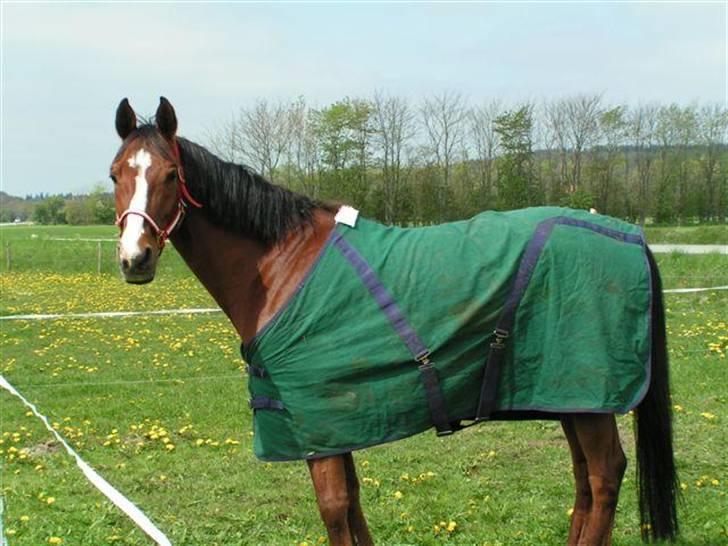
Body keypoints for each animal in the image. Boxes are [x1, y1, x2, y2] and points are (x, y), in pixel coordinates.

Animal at [110, 97, 678, 545]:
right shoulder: (332, 425)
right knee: (584, 481)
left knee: (604, 478)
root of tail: (630, 235)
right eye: (116, 174)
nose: (135, 259)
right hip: (570, 398)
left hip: (588, 398)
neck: (280, 265)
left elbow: (335, 509)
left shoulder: (316, 422)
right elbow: (354, 505)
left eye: (169, 175)